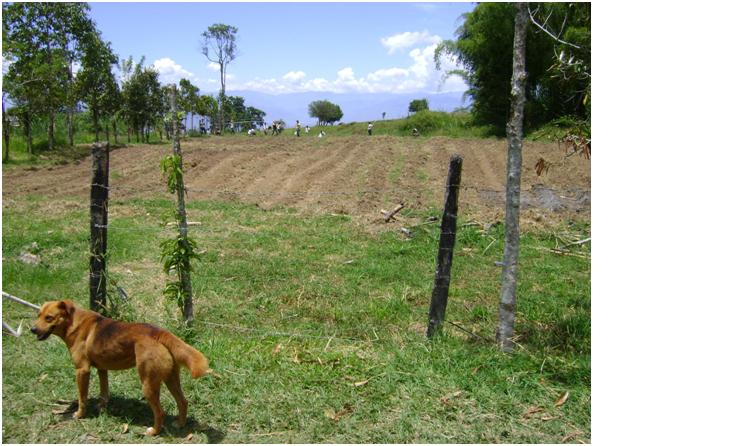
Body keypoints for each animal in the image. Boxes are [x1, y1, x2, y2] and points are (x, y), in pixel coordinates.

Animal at [31, 300, 210, 436]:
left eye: (49, 318)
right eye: (38, 316)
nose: (32, 329)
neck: (74, 323)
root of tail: (158, 332)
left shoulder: (82, 370)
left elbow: (82, 398)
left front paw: (80, 414)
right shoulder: (101, 369)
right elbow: (104, 393)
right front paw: (102, 408)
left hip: (148, 384)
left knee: (160, 412)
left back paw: (154, 432)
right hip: (171, 378)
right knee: (183, 401)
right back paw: (180, 424)